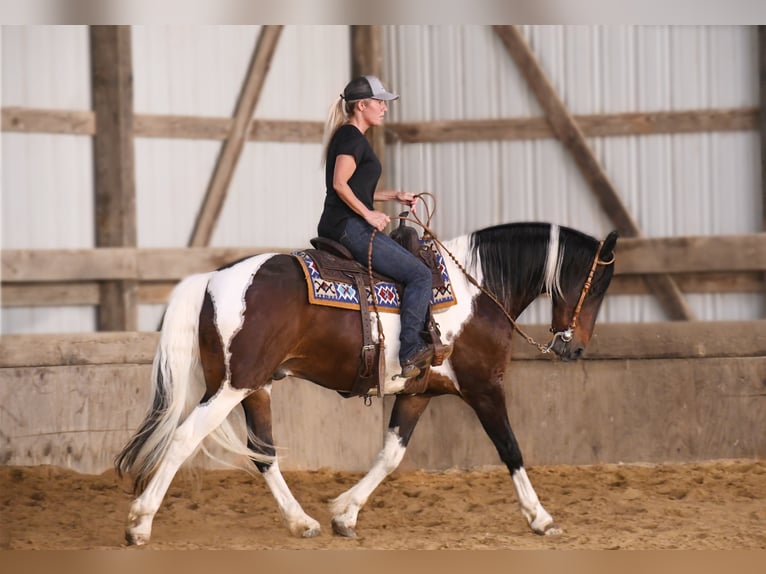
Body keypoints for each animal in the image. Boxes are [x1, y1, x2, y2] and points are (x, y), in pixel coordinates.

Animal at [115, 222, 616, 548]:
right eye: (595, 288)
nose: (574, 349)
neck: (478, 291)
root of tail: (213, 278)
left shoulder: (417, 394)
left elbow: (390, 455)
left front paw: (345, 512)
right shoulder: (485, 388)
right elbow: (511, 449)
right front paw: (541, 518)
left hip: (254, 388)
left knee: (263, 454)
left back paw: (301, 522)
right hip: (233, 387)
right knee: (185, 439)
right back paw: (140, 522)